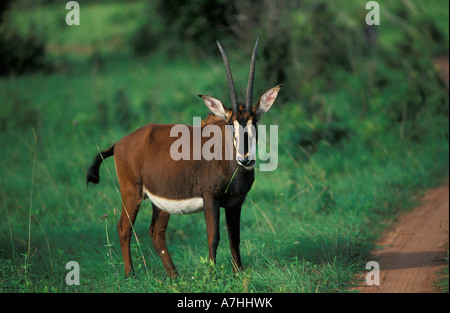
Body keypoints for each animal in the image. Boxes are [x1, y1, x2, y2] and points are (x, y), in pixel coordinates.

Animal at [85, 37, 280, 276]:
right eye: (230, 123)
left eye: (255, 122)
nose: (245, 159)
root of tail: (120, 143)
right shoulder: (211, 198)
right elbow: (213, 237)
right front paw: (213, 274)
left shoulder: (235, 203)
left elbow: (235, 239)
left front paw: (239, 273)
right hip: (131, 192)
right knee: (124, 227)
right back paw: (131, 275)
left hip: (160, 201)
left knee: (156, 232)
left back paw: (174, 276)